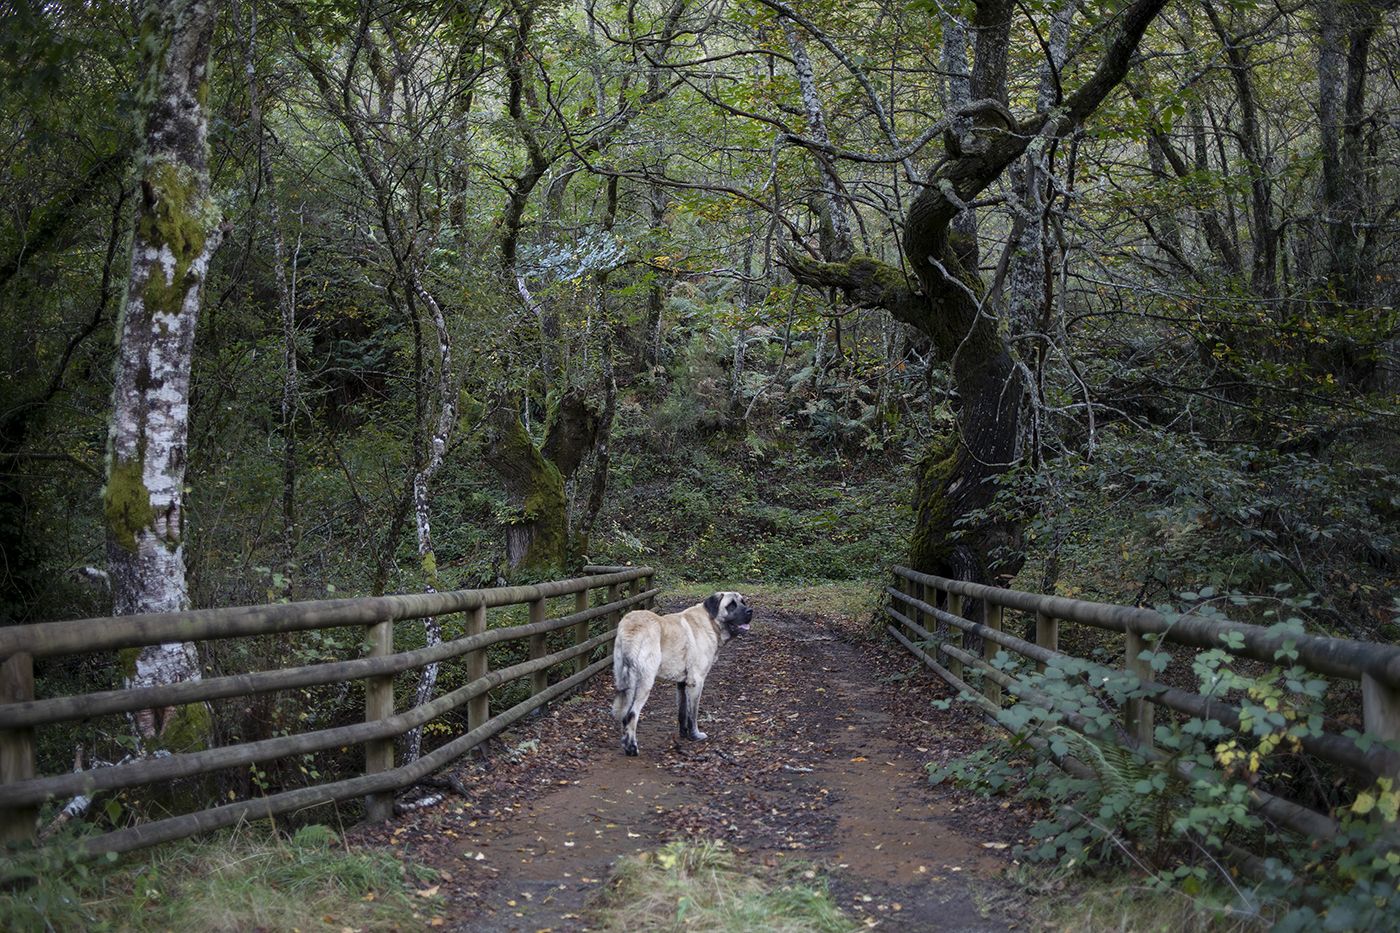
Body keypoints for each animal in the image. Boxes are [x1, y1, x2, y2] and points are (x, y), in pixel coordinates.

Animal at [607, 591, 750, 750]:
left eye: (743, 602)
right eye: (731, 605)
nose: (750, 611)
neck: (710, 622)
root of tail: (632, 628)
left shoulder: (682, 683)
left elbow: (682, 712)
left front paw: (683, 733)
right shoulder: (696, 682)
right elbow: (692, 714)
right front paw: (695, 735)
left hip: (625, 681)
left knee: (625, 714)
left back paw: (626, 744)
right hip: (644, 683)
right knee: (632, 714)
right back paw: (632, 748)